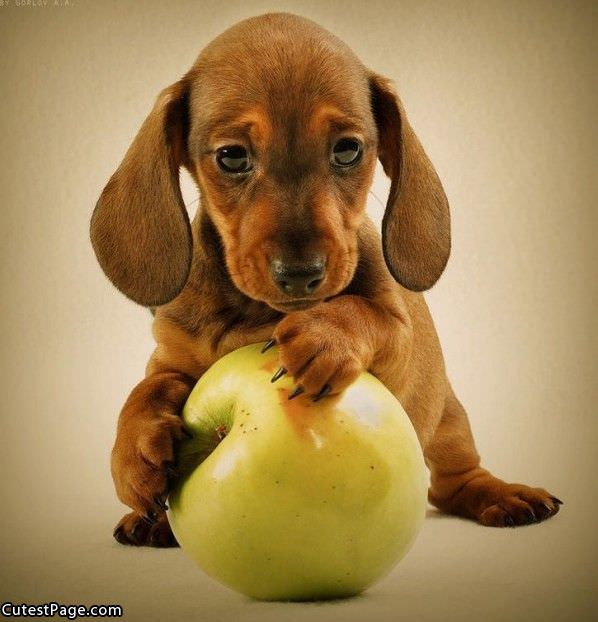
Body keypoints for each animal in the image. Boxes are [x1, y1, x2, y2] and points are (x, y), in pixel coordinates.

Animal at [89, 9, 564, 544]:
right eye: (232, 156)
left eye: (348, 150)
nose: (300, 274)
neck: (257, 314)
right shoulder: (170, 357)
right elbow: (146, 389)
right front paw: (132, 453)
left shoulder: (397, 347)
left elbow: (365, 313)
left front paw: (324, 335)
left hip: (447, 420)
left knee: (454, 481)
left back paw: (502, 494)